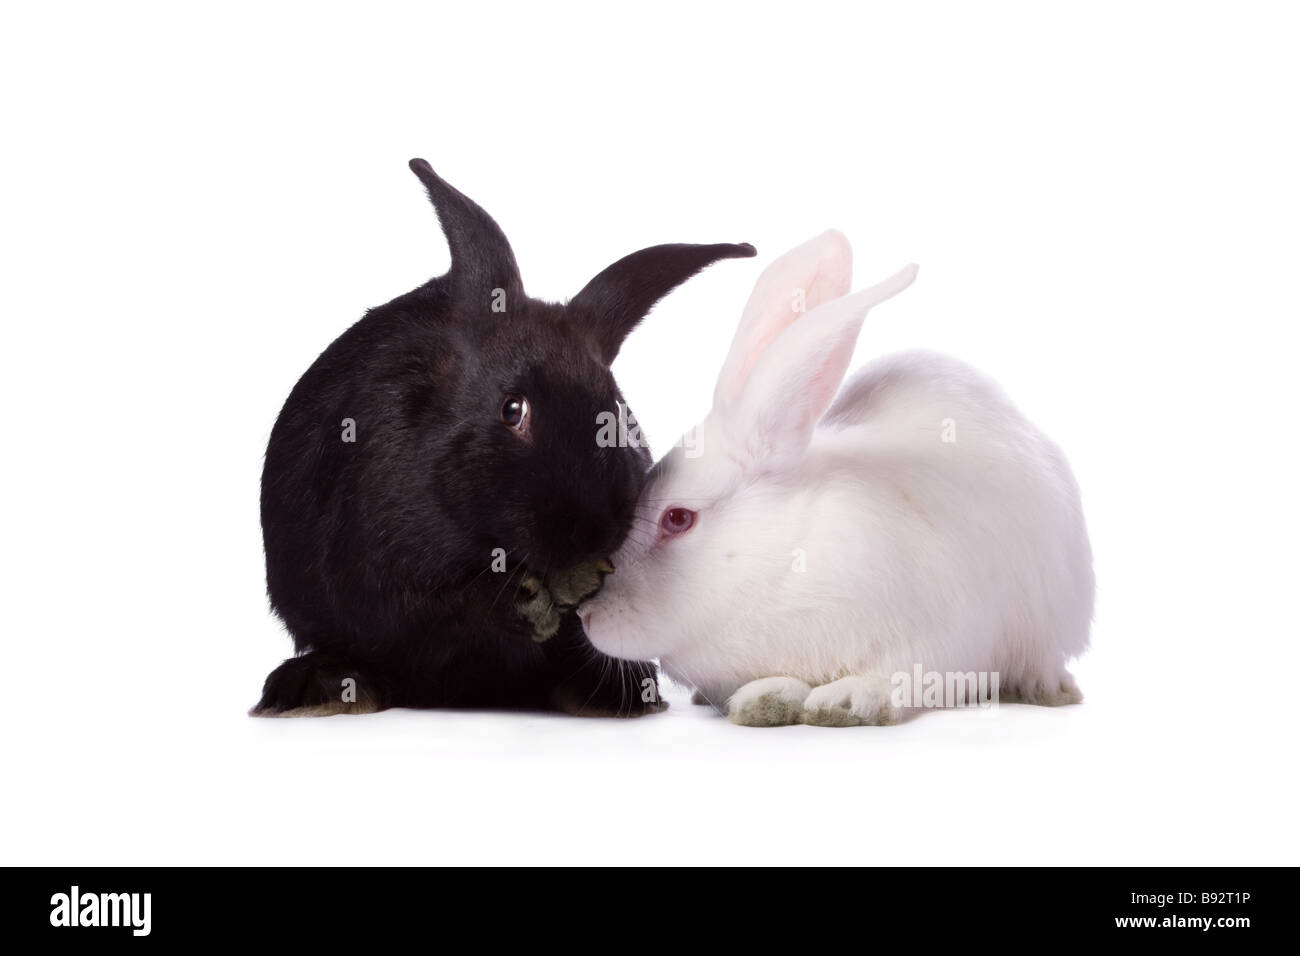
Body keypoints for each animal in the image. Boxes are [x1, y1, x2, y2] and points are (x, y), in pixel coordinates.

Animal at [253, 160, 759, 712]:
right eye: (512, 409)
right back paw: (313, 688)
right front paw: (521, 605)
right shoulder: (376, 570)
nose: (592, 532)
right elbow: (428, 612)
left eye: (618, 415)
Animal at [577, 231, 1086, 723]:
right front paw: (767, 699)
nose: (586, 614)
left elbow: (899, 679)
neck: (784, 558)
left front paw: (845, 700)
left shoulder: (937, 633)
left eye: (678, 519)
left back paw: (1047, 689)